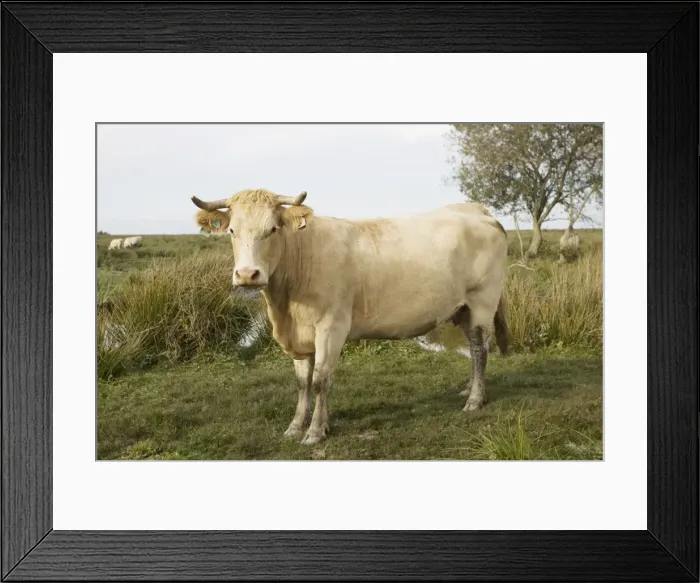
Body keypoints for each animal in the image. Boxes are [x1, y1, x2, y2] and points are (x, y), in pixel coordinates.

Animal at [192, 188, 509, 445]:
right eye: (232, 231)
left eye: (272, 229)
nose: (247, 275)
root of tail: (476, 211)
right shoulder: (299, 335)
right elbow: (303, 382)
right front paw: (296, 427)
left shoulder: (331, 327)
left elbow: (320, 379)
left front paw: (315, 432)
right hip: (462, 309)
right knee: (473, 348)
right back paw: (469, 390)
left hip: (482, 302)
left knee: (480, 349)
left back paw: (475, 400)